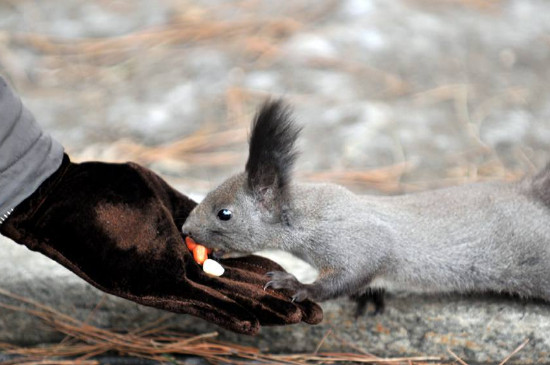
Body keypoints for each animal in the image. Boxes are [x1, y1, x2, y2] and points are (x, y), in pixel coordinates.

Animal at [183, 99, 550, 302]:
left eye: (224, 213)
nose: (185, 229)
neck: (307, 216)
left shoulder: (356, 241)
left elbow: (356, 272)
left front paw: (298, 286)